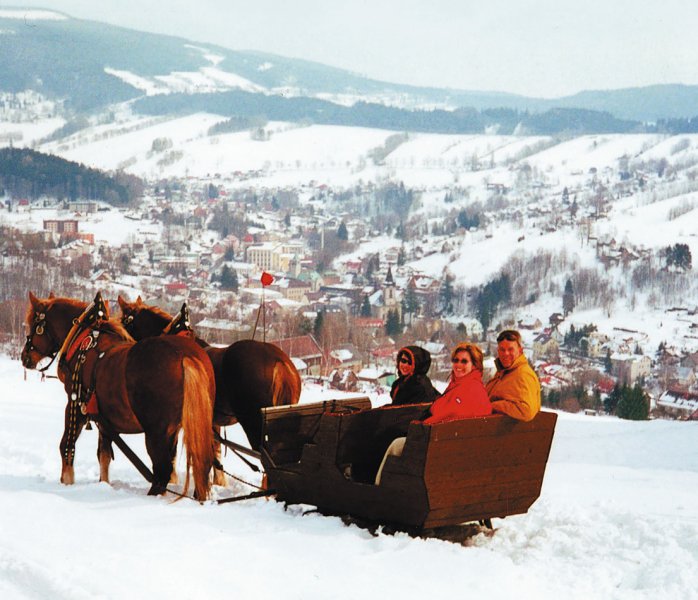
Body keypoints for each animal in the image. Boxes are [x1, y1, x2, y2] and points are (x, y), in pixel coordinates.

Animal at [21, 292, 215, 500]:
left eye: (35, 325)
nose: (25, 357)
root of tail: (186, 357)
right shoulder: (104, 417)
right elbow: (104, 454)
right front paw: (104, 484)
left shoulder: (75, 403)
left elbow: (67, 445)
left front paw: (67, 480)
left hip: (157, 431)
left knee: (162, 469)